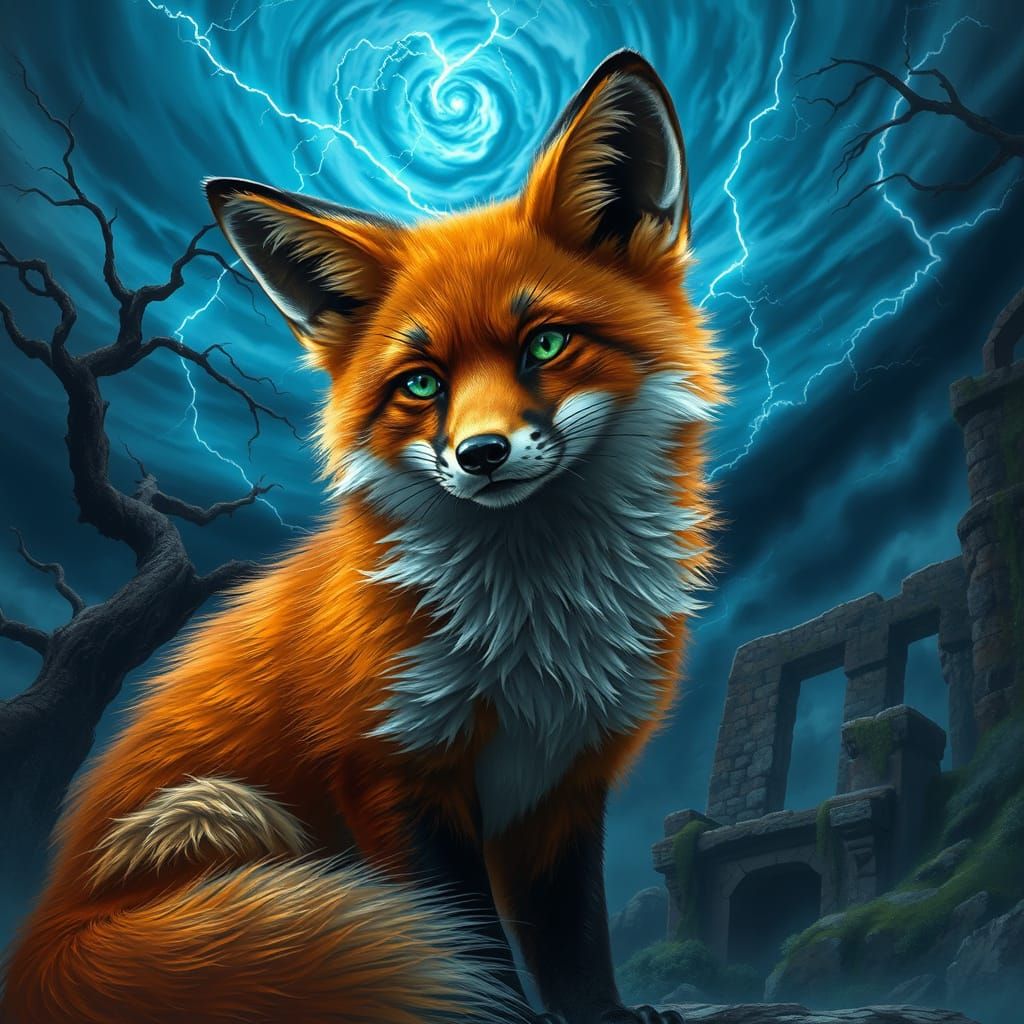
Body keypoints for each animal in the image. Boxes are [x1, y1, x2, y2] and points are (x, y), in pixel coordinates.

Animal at [3, 51, 722, 1024]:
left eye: (545, 345)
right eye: (420, 383)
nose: (481, 455)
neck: (533, 637)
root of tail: (37, 943)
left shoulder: (565, 783)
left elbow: (574, 938)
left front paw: (604, 1016)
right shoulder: (393, 771)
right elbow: (467, 946)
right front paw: (497, 1016)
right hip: (216, 812)